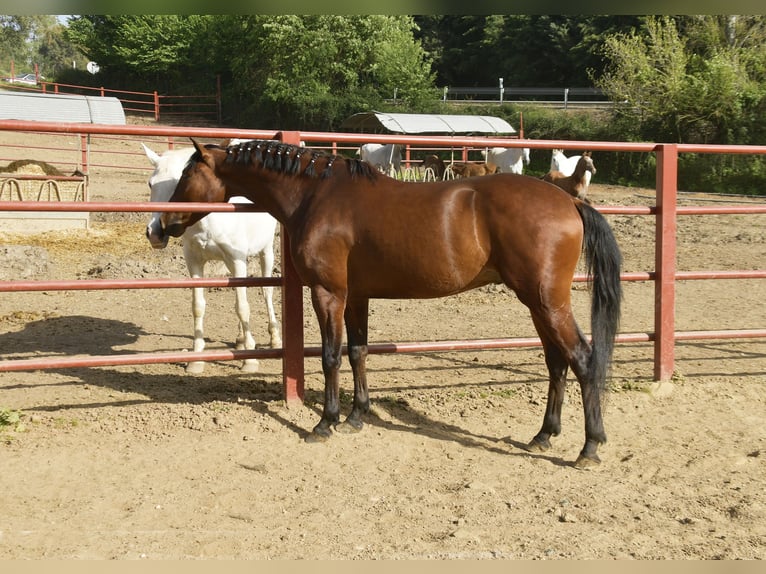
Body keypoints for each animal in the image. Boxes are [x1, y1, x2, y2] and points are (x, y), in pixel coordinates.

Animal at [142, 145, 282, 374]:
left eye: (180, 182)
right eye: (150, 184)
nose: (155, 232)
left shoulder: (237, 261)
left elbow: (243, 307)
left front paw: (250, 359)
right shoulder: (194, 262)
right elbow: (198, 306)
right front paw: (197, 359)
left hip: (266, 251)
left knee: (266, 292)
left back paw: (275, 338)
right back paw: (240, 340)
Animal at [162, 138, 624, 468]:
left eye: (187, 174)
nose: (163, 224)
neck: (317, 195)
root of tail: (569, 201)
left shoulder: (329, 293)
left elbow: (331, 356)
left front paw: (326, 422)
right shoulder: (356, 296)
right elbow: (358, 352)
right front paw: (356, 416)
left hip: (546, 302)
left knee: (583, 359)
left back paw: (590, 447)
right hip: (538, 303)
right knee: (556, 361)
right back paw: (544, 434)